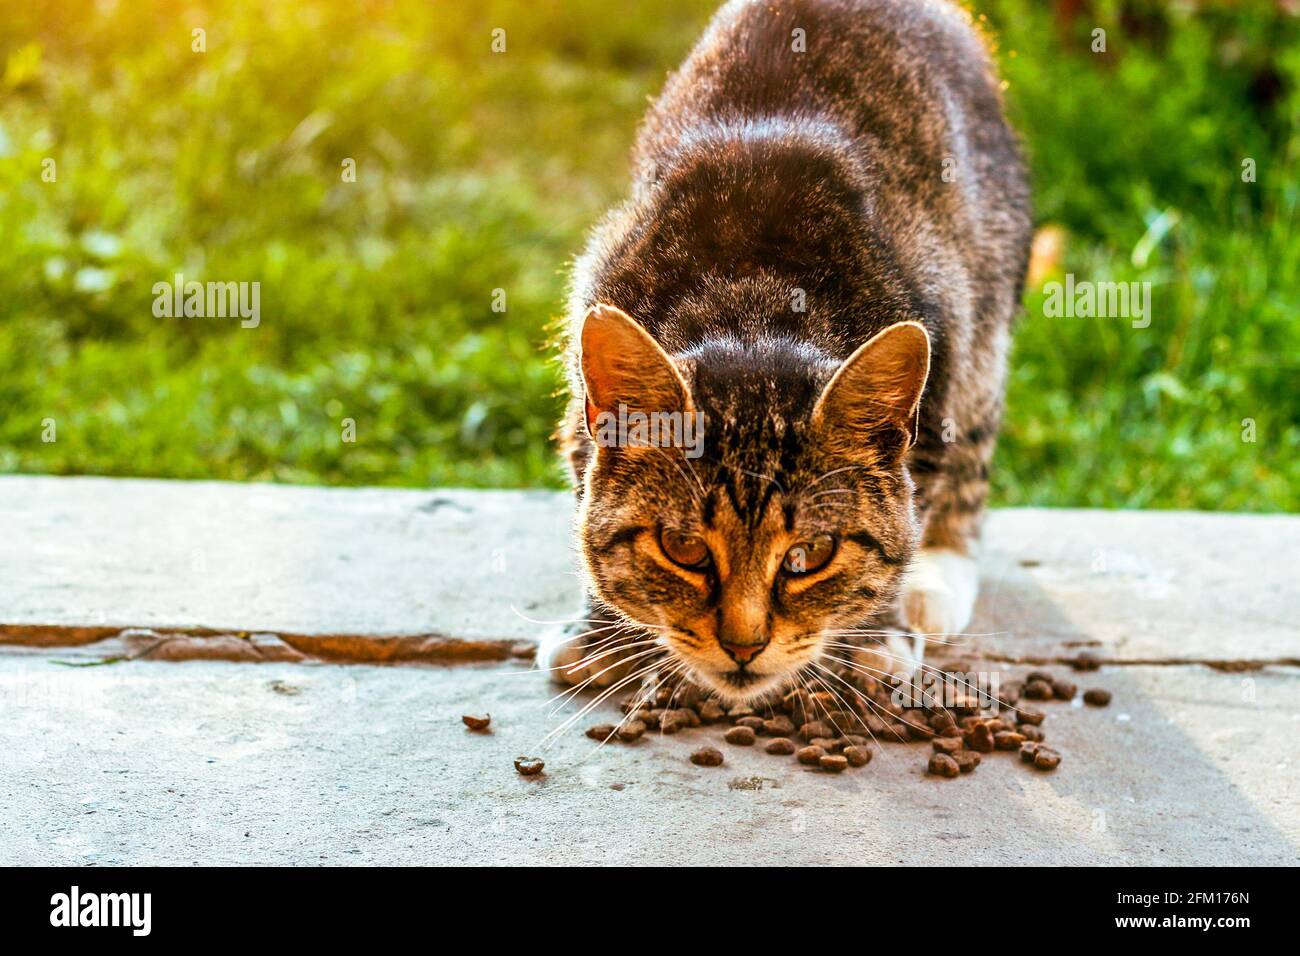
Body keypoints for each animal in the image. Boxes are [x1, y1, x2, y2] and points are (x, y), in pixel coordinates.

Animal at [538, 0, 1024, 702]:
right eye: (683, 547)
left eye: (808, 556)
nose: (744, 647)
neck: (753, 300)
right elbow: (586, 490)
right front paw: (601, 631)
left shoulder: (944, 343)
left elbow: (908, 504)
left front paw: (874, 632)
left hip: (987, 313)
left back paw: (939, 577)